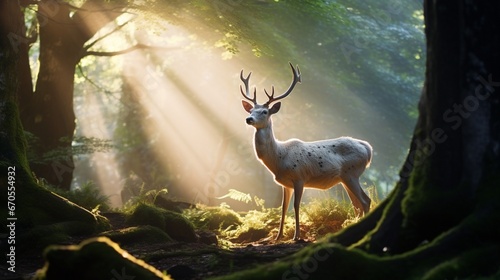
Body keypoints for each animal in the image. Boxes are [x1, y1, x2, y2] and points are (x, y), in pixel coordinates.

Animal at [240, 63, 374, 241]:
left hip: (351, 173)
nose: (249, 119)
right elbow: (283, 207)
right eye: (250, 111)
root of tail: (367, 147)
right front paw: (278, 236)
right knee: (357, 204)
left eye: (264, 112)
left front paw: (296, 236)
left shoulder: (299, 177)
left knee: (365, 201)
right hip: (345, 178)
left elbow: (296, 206)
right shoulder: (285, 184)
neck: (279, 158)